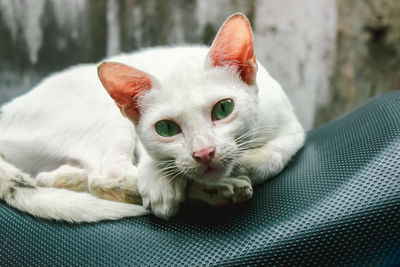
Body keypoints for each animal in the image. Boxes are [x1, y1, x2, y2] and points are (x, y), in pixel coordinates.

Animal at [0, 13, 304, 222]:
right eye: (166, 128)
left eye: (223, 109)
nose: (204, 153)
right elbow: (154, 161)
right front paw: (165, 181)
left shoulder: (293, 130)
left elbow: (271, 157)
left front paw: (241, 166)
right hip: (106, 119)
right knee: (105, 176)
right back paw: (215, 191)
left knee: (59, 177)